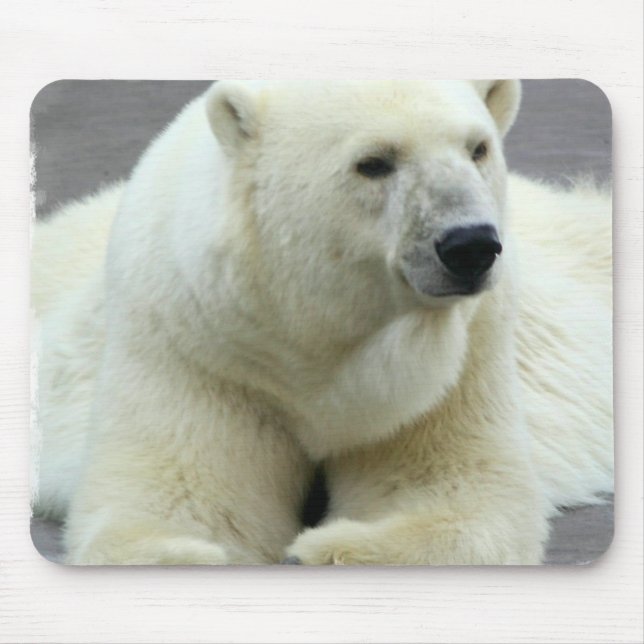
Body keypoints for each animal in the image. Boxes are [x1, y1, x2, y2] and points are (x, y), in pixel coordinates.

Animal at [31, 80, 613, 565]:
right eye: (374, 162)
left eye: (478, 148)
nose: (469, 245)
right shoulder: (196, 343)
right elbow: (180, 500)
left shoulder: (461, 353)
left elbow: (454, 493)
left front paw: (323, 548)